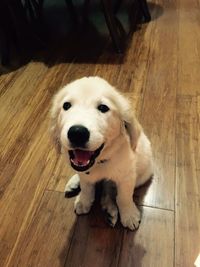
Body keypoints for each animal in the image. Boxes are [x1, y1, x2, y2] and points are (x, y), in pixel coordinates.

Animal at [50, 76, 153, 231]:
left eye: (103, 108)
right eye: (66, 105)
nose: (77, 133)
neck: (100, 162)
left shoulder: (127, 177)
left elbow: (123, 197)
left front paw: (129, 214)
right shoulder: (85, 174)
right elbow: (87, 187)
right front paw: (84, 201)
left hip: (143, 174)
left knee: (109, 188)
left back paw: (109, 209)